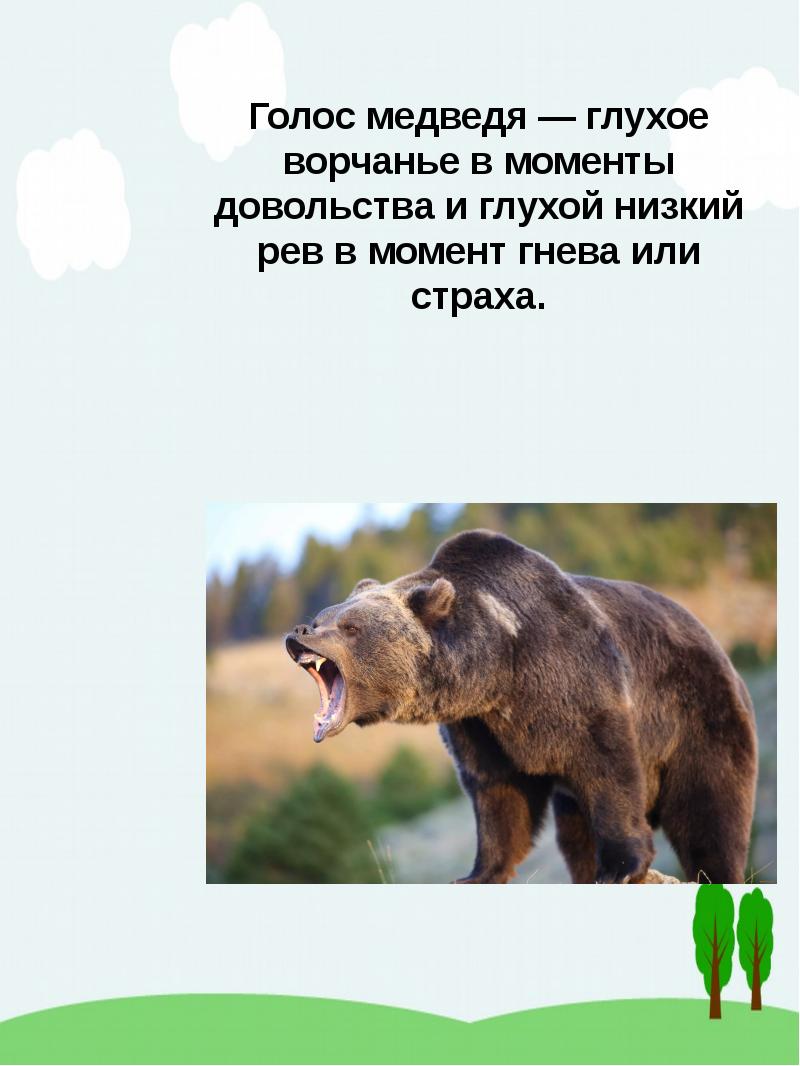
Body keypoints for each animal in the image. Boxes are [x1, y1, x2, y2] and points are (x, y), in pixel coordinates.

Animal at [285, 529, 758, 884]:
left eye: (349, 627)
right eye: (324, 615)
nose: (299, 631)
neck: (500, 668)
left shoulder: (577, 680)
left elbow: (610, 770)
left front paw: (622, 867)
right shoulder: (479, 726)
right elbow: (496, 792)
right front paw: (477, 873)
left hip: (699, 716)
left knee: (710, 811)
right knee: (575, 833)